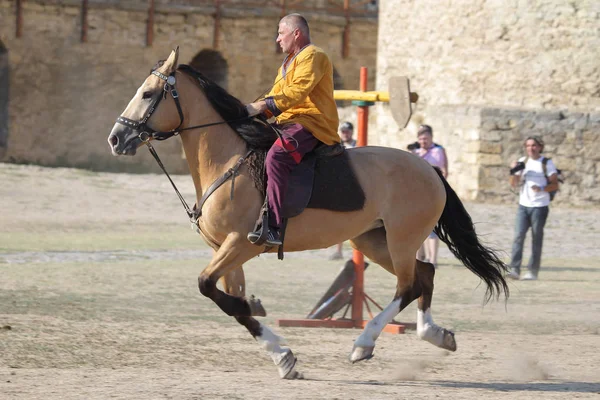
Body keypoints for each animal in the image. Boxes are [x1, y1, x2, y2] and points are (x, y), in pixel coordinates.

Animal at [106, 48, 506, 380]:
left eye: (147, 94)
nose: (115, 139)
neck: (229, 160)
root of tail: (428, 168)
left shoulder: (241, 245)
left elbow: (212, 290)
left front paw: (270, 333)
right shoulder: (226, 252)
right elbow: (232, 305)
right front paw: (281, 355)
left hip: (402, 240)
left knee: (408, 285)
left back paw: (364, 343)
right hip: (374, 241)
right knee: (425, 275)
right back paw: (434, 334)